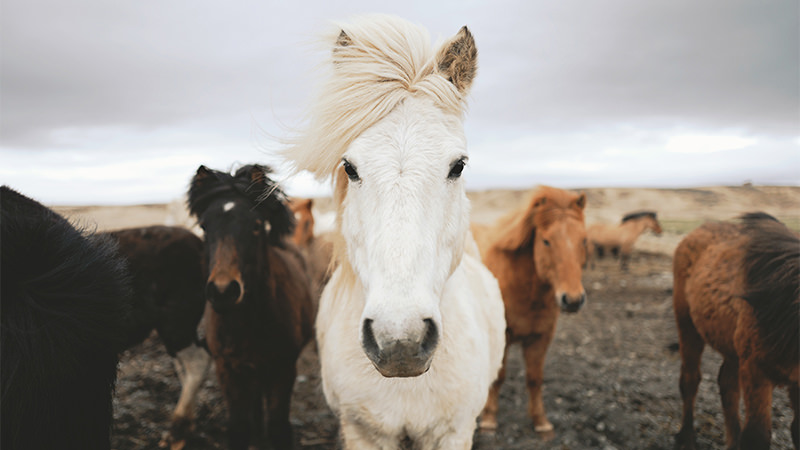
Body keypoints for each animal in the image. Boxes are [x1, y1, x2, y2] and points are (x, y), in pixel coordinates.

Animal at [187, 164, 315, 450]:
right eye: (204, 227)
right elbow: (238, 426)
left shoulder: (283, 369)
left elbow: (278, 426)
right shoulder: (228, 371)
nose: (223, 291)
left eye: (256, 226)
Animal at [471, 185, 588, 437]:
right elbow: (499, 377)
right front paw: (489, 419)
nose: (573, 300)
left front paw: (540, 421)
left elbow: (535, 379)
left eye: (584, 240)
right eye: (546, 241)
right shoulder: (504, 337)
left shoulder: (540, 338)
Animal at [673, 213, 799, 450]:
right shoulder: (756, 370)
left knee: (727, 385)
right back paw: (686, 436)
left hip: (732, 348)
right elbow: (756, 436)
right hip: (687, 326)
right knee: (690, 379)